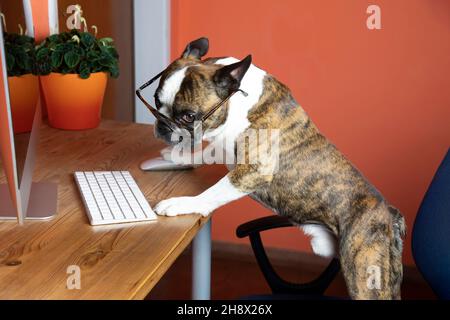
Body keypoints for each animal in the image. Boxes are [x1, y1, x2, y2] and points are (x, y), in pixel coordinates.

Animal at [153, 37, 406, 300]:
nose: (162, 124)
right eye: (156, 101)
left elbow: (211, 193)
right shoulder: (223, 146)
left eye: (189, 116)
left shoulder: (254, 170)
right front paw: (177, 157)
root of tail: (391, 215)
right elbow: (205, 153)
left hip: (366, 274)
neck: (237, 101)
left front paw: (182, 204)